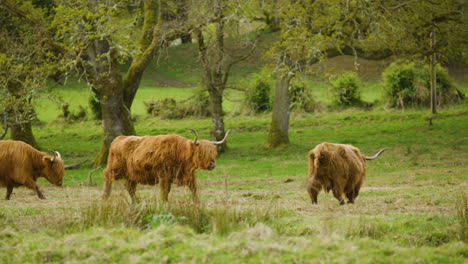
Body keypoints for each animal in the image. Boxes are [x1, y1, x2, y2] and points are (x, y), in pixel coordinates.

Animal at [104, 129, 232, 201]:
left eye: (213, 152)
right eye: (201, 152)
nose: (212, 164)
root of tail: (118, 138)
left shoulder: (190, 176)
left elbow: (194, 191)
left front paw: (197, 205)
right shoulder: (163, 177)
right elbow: (164, 194)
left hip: (132, 175)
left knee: (130, 188)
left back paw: (137, 203)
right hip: (115, 169)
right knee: (107, 177)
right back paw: (105, 198)